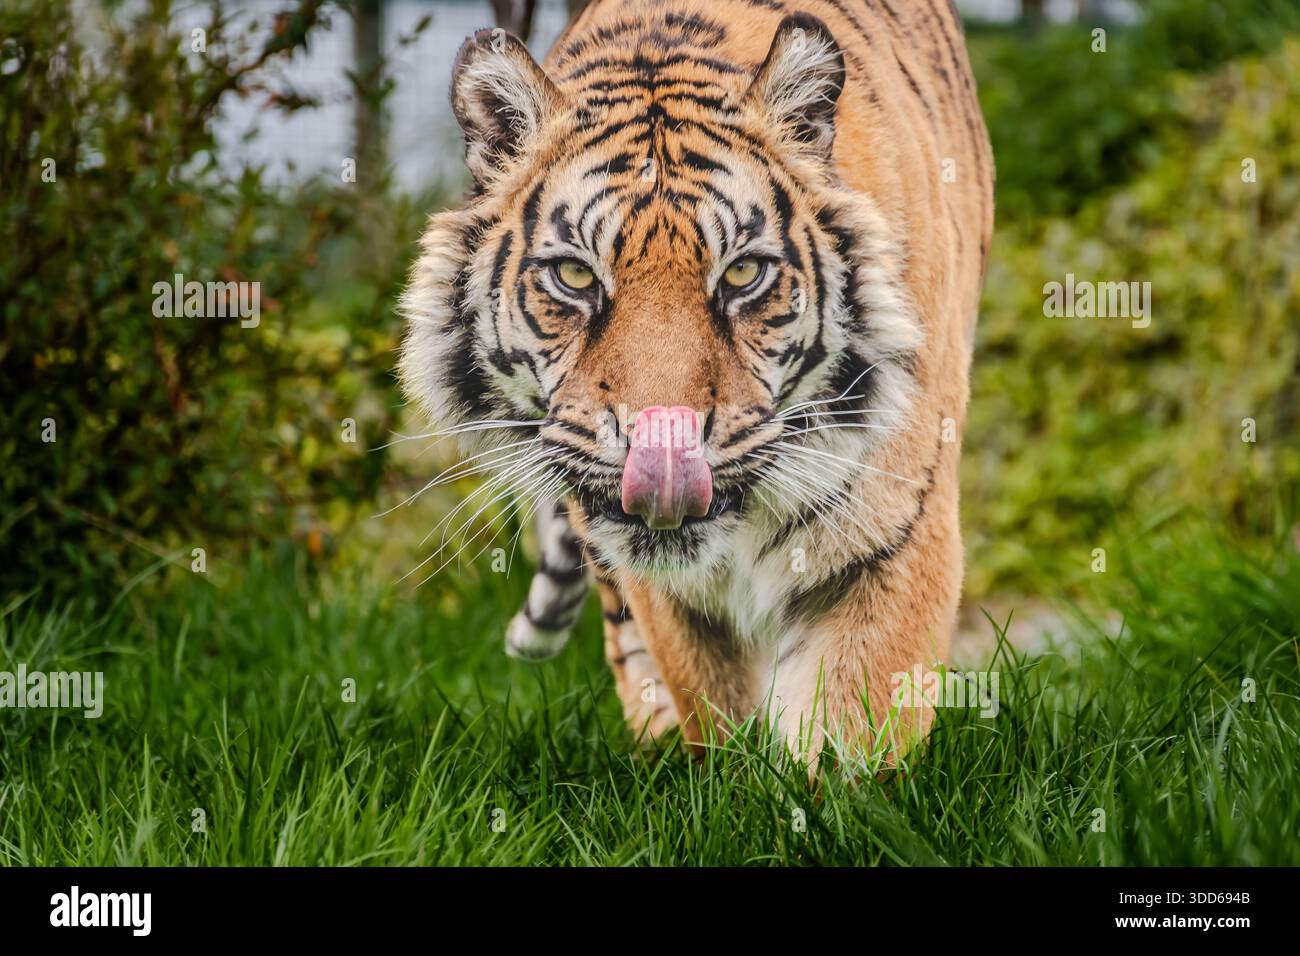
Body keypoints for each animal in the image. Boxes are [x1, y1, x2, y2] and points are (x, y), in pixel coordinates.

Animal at [398, 0, 993, 764]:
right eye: (575, 275)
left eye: (743, 273)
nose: (663, 449)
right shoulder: (658, 582)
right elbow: (713, 705)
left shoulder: (894, 531)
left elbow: (852, 724)